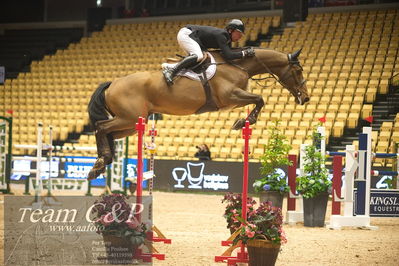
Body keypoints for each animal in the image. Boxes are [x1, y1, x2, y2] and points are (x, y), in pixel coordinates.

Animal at [87, 47, 310, 180]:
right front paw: (243, 122)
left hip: (131, 125)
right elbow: (259, 99)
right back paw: (102, 162)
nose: (306, 98)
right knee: (101, 127)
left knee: (107, 133)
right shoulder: (230, 96)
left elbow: (258, 99)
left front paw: (244, 121)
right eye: (298, 71)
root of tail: (112, 83)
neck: (238, 64)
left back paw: (100, 164)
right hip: (129, 118)